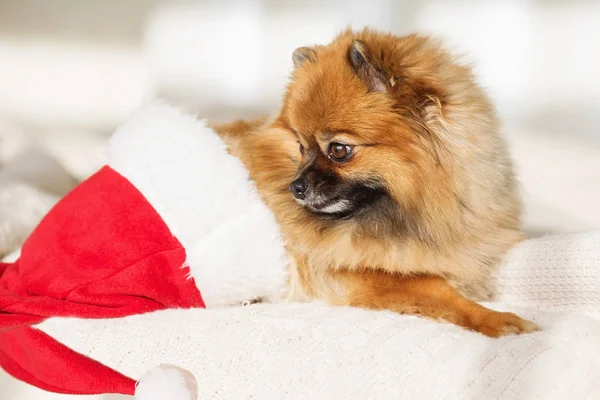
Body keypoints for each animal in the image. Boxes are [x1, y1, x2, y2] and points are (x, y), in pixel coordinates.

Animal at [214, 27, 540, 338]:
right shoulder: (370, 276)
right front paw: (498, 319)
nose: (296, 187)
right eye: (301, 147)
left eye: (338, 150)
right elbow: (442, 290)